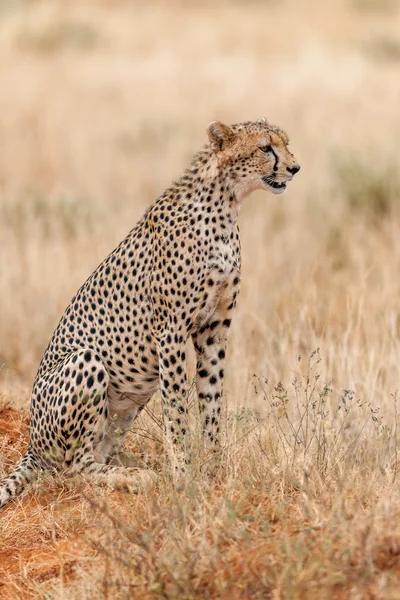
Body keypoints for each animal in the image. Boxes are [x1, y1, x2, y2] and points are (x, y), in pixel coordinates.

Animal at [0, 117, 300, 506]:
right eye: (265, 147)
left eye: (285, 144)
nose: (295, 168)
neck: (226, 203)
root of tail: (32, 444)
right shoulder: (170, 330)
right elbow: (176, 410)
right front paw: (183, 475)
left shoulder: (214, 330)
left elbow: (212, 402)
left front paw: (214, 471)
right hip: (86, 360)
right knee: (73, 468)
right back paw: (136, 476)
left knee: (96, 452)